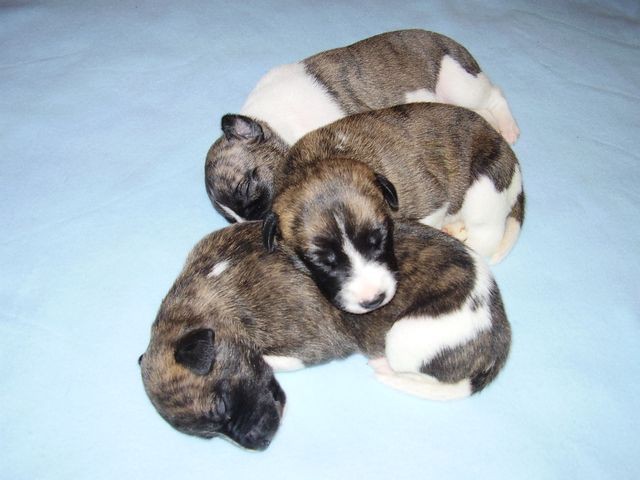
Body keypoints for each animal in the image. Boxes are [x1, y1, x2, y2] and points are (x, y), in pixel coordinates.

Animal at [139, 221, 510, 450]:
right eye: (209, 436)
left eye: (222, 405)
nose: (259, 443)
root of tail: (501, 333)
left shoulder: (315, 343)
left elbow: (274, 358)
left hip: (404, 334)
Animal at [205, 29, 520, 223]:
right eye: (230, 219)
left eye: (247, 185)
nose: (253, 221)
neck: (274, 122)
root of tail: (456, 46)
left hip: (459, 82)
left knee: (494, 96)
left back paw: (507, 125)